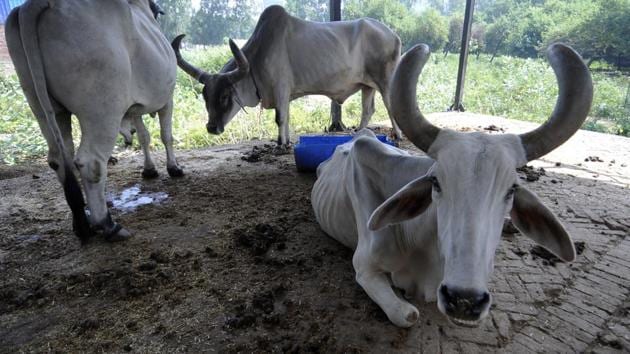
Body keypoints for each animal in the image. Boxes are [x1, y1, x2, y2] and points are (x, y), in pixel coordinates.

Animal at [5, 0, 183, 242]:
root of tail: (38, 4)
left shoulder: (134, 109)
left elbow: (144, 137)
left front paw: (149, 169)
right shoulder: (167, 99)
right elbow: (166, 136)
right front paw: (174, 168)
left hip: (42, 106)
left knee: (60, 158)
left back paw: (81, 224)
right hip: (103, 108)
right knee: (91, 162)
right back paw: (107, 224)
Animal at [170, 4, 402, 145]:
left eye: (225, 96)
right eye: (205, 95)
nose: (211, 127)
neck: (256, 59)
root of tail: (393, 34)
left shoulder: (281, 88)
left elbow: (280, 118)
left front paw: (281, 143)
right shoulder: (286, 95)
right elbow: (287, 117)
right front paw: (286, 140)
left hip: (385, 80)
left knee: (391, 106)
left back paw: (397, 135)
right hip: (367, 86)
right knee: (368, 110)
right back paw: (359, 134)